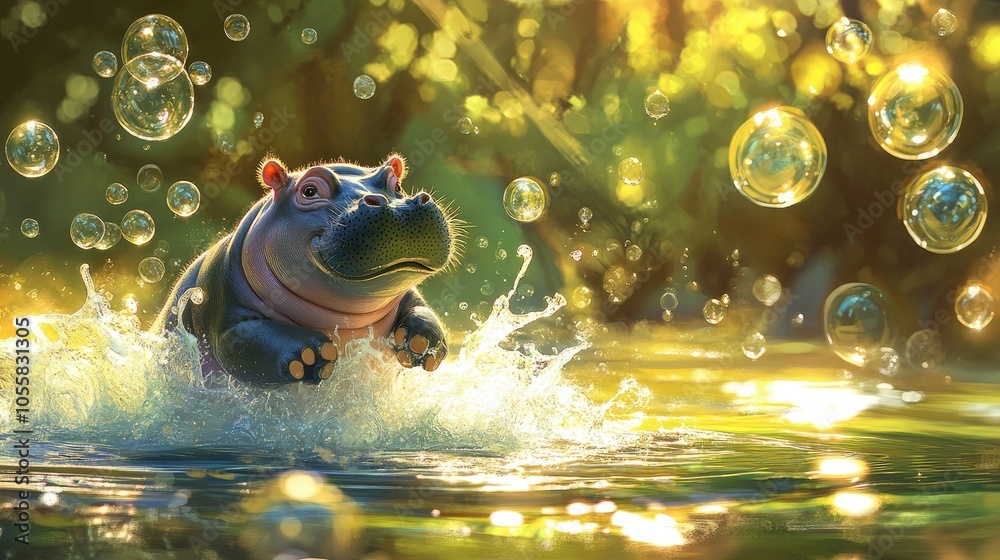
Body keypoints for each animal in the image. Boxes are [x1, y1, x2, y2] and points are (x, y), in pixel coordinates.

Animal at [153, 153, 458, 384]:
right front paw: (311, 354)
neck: (343, 318)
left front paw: (423, 340)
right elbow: (244, 342)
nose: (400, 207)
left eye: (396, 185)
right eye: (310, 190)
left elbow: (421, 309)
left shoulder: (409, 295)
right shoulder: (222, 311)